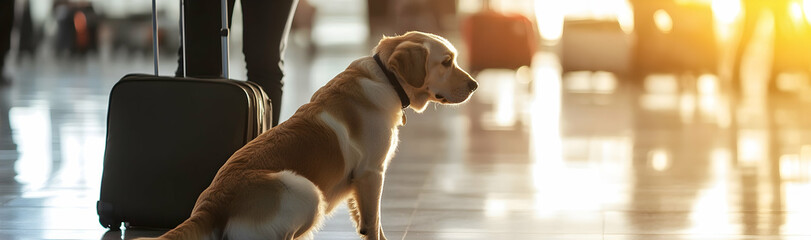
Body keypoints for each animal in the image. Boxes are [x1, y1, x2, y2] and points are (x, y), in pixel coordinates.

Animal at [139, 31, 476, 240]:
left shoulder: (359, 182)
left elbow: (366, 223)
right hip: (307, 190)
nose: (474, 85)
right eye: (447, 62)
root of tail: (210, 206)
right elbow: (374, 224)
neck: (386, 79)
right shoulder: (372, 173)